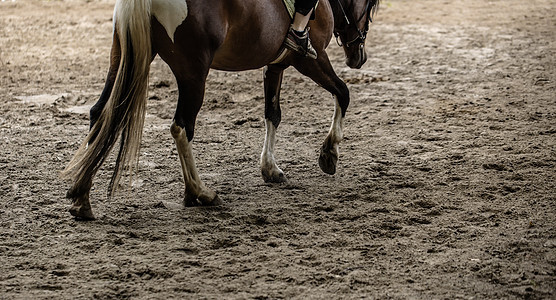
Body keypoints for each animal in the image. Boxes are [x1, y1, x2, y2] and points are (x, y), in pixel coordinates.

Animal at [63, 0, 380, 220]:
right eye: (371, 7)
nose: (359, 57)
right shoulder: (311, 59)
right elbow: (343, 93)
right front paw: (329, 153)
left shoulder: (275, 64)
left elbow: (272, 114)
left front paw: (271, 169)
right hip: (193, 74)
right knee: (181, 126)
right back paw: (199, 192)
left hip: (121, 57)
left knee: (99, 113)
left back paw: (81, 197)